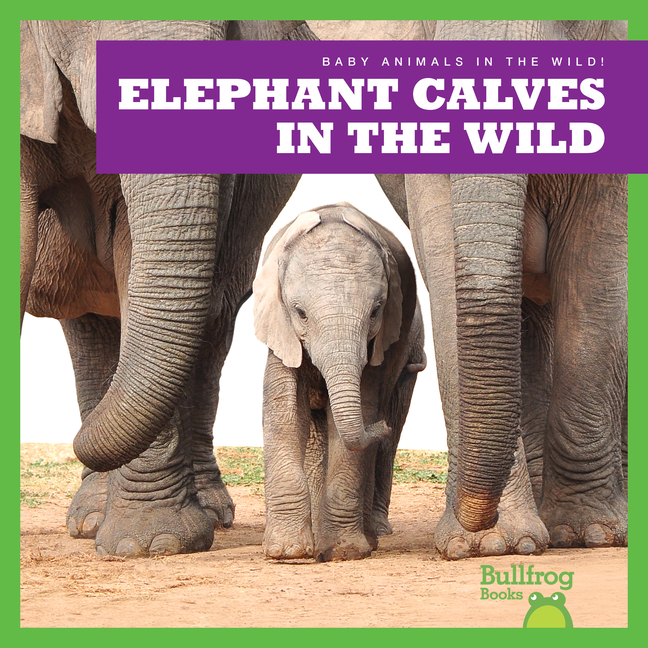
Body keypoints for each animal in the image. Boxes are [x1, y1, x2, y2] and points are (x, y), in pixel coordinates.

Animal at [20, 19, 317, 557]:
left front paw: (151, 546)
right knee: (91, 326)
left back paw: (208, 514)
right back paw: (90, 517)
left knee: (210, 322)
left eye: (229, 28)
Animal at [253, 203, 426, 561]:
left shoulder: (381, 343)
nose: (379, 427)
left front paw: (344, 551)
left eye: (375, 311)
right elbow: (285, 414)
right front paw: (288, 552)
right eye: (300, 312)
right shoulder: (279, 328)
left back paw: (370, 535)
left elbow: (361, 406)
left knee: (387, 437)